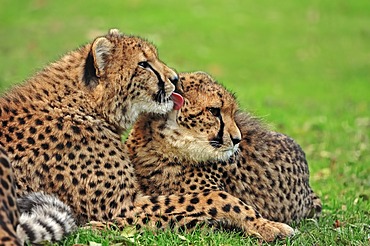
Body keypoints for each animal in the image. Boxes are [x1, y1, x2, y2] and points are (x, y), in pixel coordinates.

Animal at [0, 29, 292, 243]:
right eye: (144, 64)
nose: (174, 78)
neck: (84, 104)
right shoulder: (122, 206)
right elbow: (213, 198)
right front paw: (269, 225)